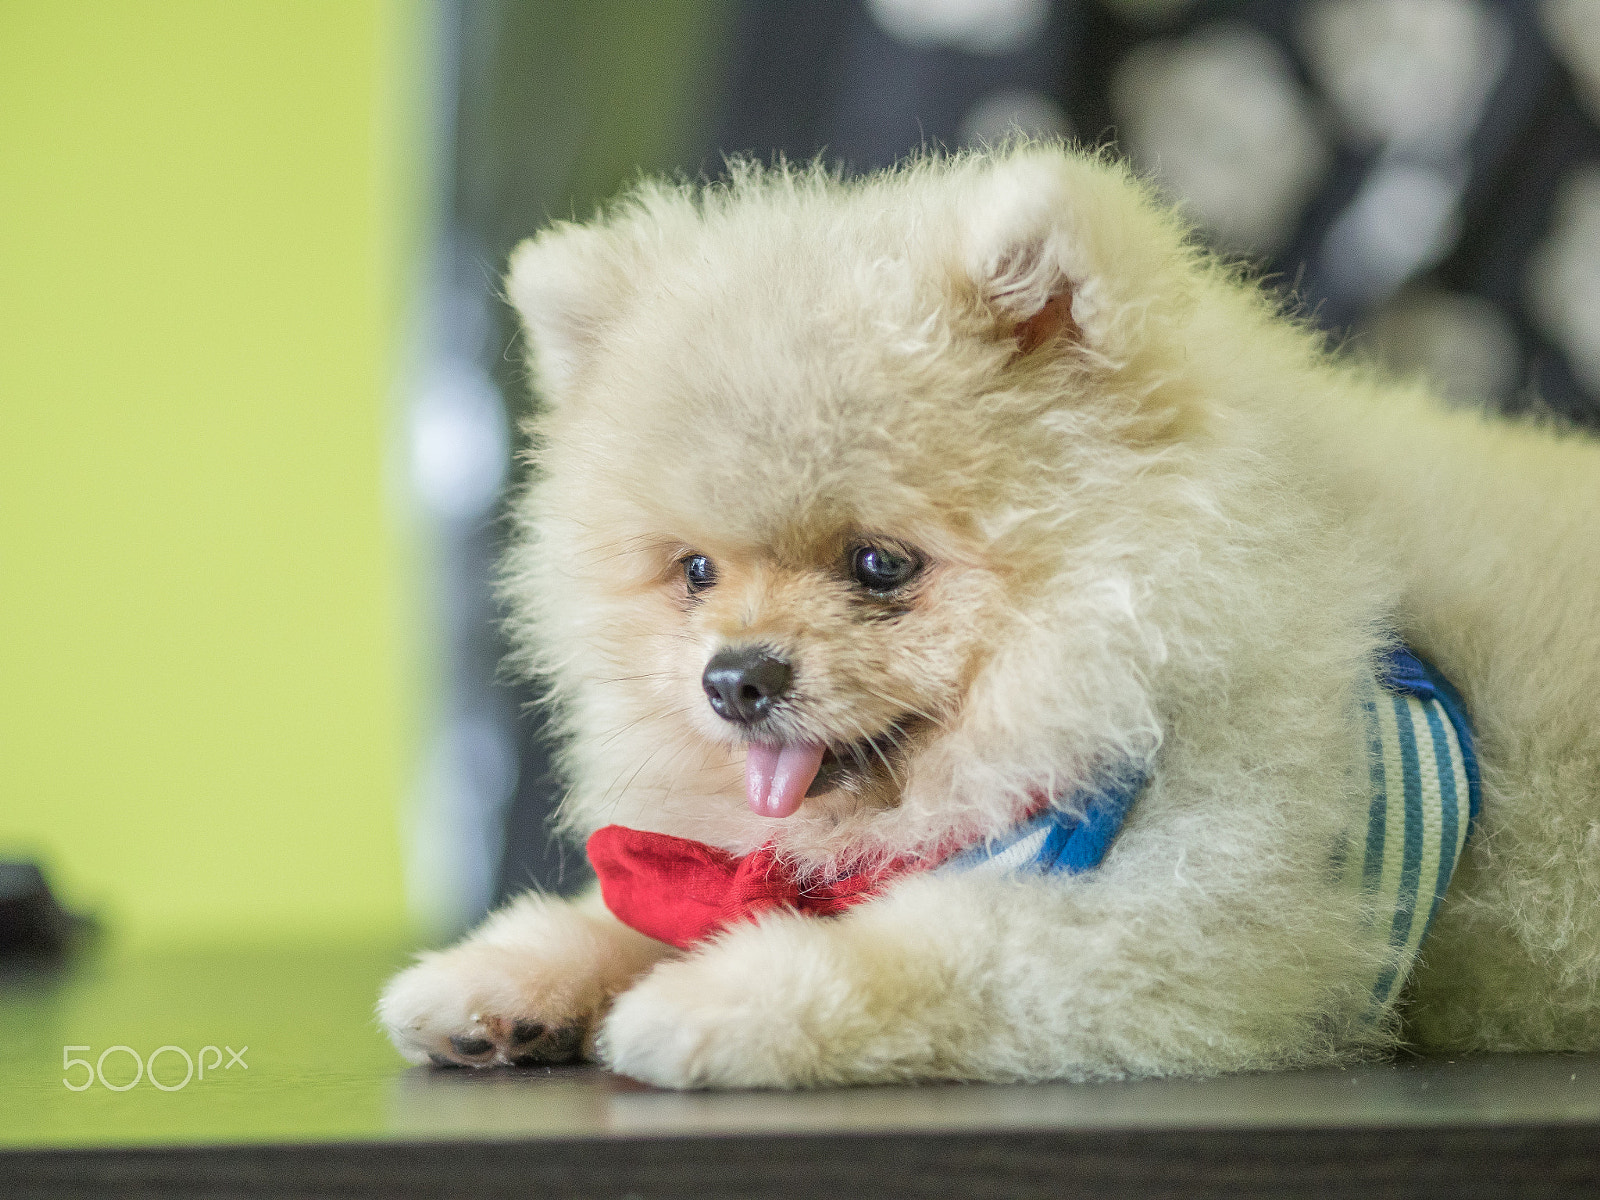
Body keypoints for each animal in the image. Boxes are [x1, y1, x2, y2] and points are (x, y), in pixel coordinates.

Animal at [377, 143, 1600, 1088]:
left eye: (879, 564)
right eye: (695, 572)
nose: (734, 678)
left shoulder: (1209, 927)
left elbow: (938, 949)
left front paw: (708, 1003)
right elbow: (648, 902)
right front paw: (508, 975)